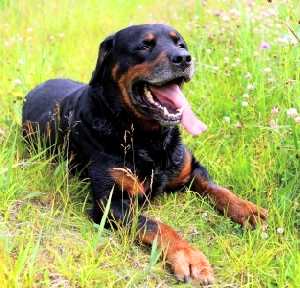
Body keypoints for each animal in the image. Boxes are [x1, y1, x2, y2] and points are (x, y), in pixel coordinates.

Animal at [22, 23, 268, 284]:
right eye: (144, 45)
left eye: (180, 44)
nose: (184, 58)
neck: (149, 139)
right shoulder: (112, 204)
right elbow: (157, 226)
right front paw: (189, 256)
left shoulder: (190, 168)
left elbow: (218, 189)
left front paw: (249, 210)